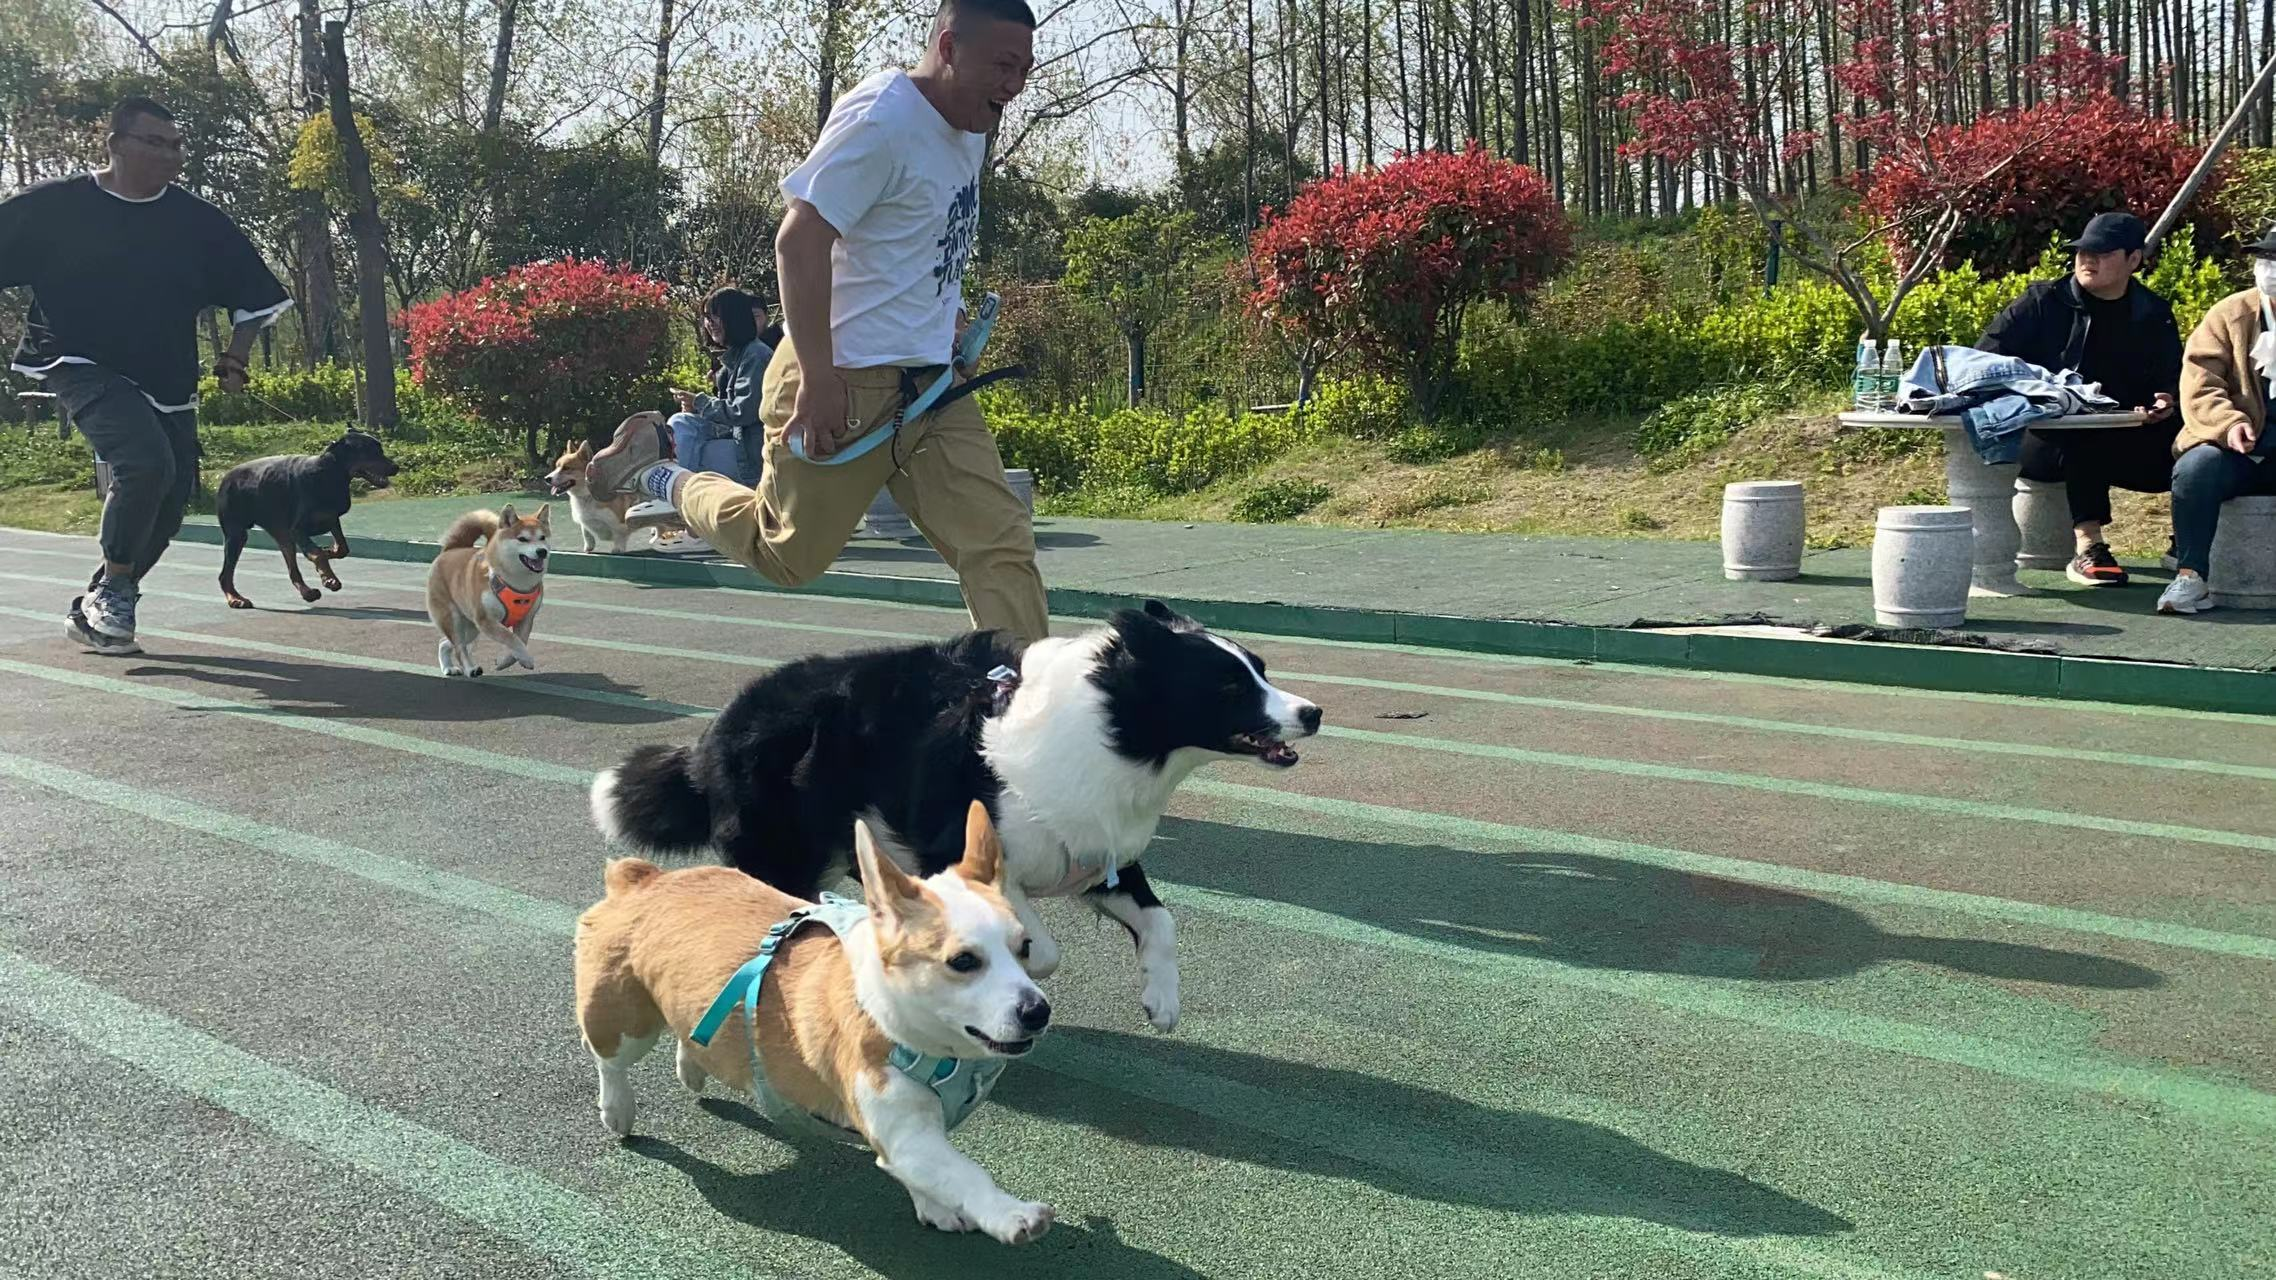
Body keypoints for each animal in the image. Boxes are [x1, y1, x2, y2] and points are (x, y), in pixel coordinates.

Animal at [215, 428, 399, 608]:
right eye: (369, 451)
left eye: (380, 449)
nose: (396, 467)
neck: (329, 474)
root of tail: (225, 478)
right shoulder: (298, 530)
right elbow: (317, 554)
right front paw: (329, 578)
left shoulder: (331, 519)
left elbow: (342, 548)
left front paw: (328, 552)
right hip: (237, 534)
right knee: (225, 574)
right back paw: (235, 599)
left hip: (281, 535)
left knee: (292, 569)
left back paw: (307, 592)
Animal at [424, 504, 551, 677]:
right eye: (522, 539)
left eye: (542, 537)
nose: (542, 551)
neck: (516, 581)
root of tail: (450, 550)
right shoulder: (486, 620)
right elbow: (511, 638)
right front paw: (526, 658)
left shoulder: (526, 619)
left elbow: (520, 641)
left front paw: (506, 661)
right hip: (452, 619)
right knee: (459, 648)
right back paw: (470, 669)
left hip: (471, 628)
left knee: (445, 642)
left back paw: (448, 667)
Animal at [574, 801, 1055, 1244]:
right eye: (963, 961)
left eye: (1025, 947)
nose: (1038, 1011)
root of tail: (644, 878)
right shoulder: (906, 1132)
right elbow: (964, 1172)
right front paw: (1011, 1214)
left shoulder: (908, 1139)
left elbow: (931, 1177)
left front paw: (936, 1208)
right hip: (625, 1022)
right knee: (609, 1060)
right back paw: (617, 1109)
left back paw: (691, 1067)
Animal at [589, 600, 1323, 1032]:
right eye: (1228, 686)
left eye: (1261, 668)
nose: (1312, 712)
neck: (1110, 729)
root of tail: (711, 737)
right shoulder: (959, 847)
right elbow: (1039, 942)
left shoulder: (1100, 852)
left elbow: (1161, 923)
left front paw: (1161, 999)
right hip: (780, 851)